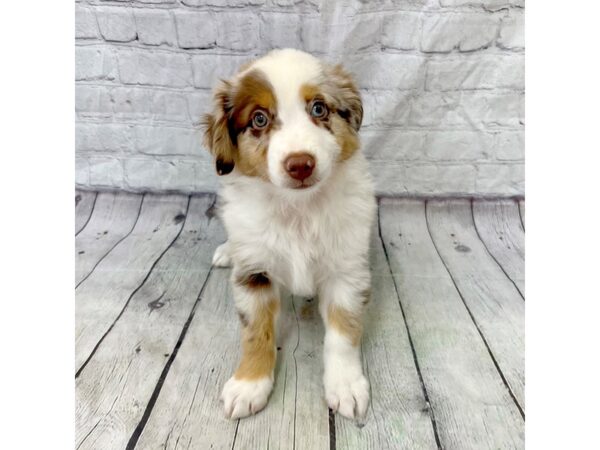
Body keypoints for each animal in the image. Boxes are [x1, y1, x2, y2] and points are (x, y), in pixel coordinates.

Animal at [204, 49, 378, 422]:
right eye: (258, 119)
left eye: (319, 109)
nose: (300, 164)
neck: (299, 209)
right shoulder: (254, 272)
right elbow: (255, 332)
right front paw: (249, 384)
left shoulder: (346, 271)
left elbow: (343, 332)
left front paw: (345, 385)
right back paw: (227, 250)